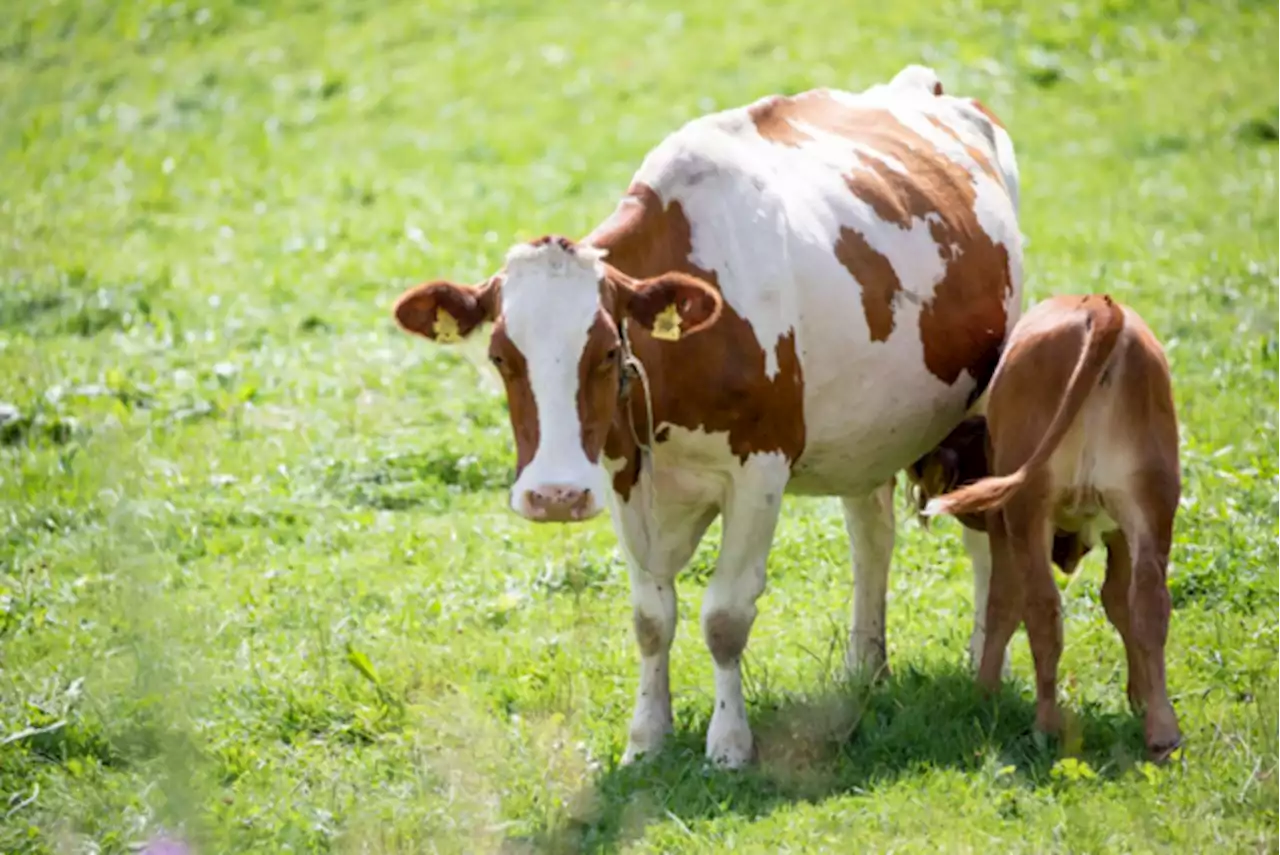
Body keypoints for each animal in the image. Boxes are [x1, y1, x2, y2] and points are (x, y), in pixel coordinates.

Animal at [394, 63, 1024, 762]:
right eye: (501, 356)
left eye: (608, 351)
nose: (554, 496)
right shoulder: (623, 475)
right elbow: (650, 617)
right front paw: (647, 735)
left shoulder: (760, 470)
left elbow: (724, 616)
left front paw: (728, 743)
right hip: (870, 429)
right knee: (871, 538)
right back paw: (865, 666)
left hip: (981, 410)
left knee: (980, 535)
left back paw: (984, 665)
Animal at [926, 295, 1182, 762]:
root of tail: (1100, 308)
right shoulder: (1121, 530)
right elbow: (1118, 600)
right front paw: (1138, 695)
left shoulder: (1003, 522)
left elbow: (1002, 603)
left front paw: (984, 691)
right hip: (1151, 502)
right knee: (1150, 604)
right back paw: (1162, 730)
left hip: (1026, 509)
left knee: (1041, 610)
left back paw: (1045, 725)